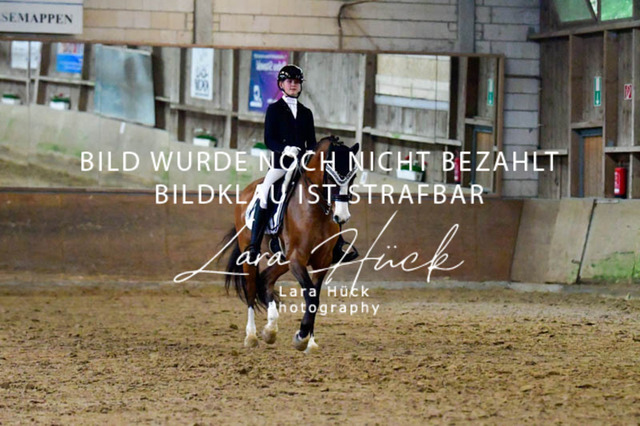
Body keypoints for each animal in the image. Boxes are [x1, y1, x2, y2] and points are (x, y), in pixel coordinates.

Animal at [221, 136, 359, 353]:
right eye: (330, 175)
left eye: (353, 178)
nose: (341, 216)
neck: (315, 208)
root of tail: (248, 190)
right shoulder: (297, 258)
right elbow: (310, 295)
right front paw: (301, 337)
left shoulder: (322, 261)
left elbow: (315, 298)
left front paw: (310, 341)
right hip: (251, 254)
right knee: (251, 288)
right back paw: (251, 336)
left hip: (282, 260)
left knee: (266, 280)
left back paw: (270, 330)